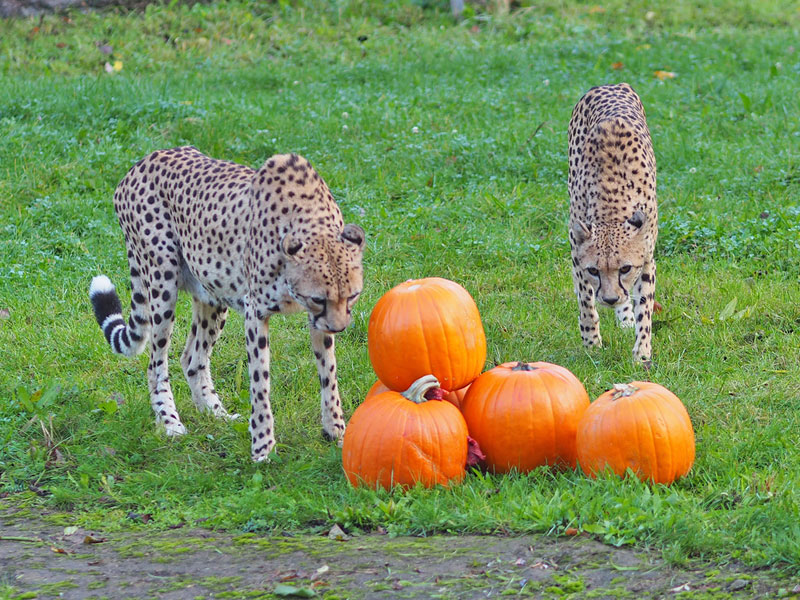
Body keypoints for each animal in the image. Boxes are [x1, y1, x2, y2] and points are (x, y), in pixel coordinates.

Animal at [90, 148, 366, 462]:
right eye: (318, 298)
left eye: (352, 295)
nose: (340, 328)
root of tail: (144, 161)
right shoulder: (256, 311)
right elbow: (260, 382)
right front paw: (262, 447)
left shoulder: (316, 321)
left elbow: (328, 374)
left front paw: (336, 432)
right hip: (162, 281)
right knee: (155, 363)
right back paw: (170, 422)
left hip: (213, 293)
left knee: (192, 358)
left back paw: (216, 414)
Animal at [568, 83, 656, 366]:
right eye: (594, 270)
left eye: (625, 268)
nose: (609, 298)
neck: (611, 211)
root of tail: (610, 85)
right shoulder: (577, 252)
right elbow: (586, 302)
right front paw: (592, 344)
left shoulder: (647, 257)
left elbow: (645, 306)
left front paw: (642, 353)